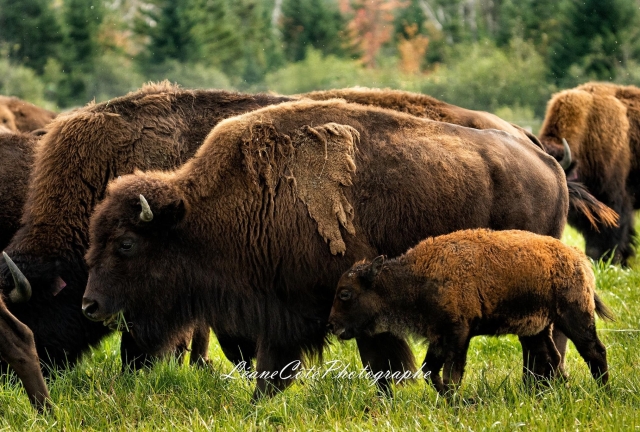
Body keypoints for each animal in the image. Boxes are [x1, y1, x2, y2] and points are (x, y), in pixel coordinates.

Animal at [82, 99, 572, 398]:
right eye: (93, 240)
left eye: (126, 244)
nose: (90, 305)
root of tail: (548, 164)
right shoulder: (280, 310)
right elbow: (273, 368)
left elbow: (380, 360)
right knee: (542, 344)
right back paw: (540, 390)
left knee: (542, 344)